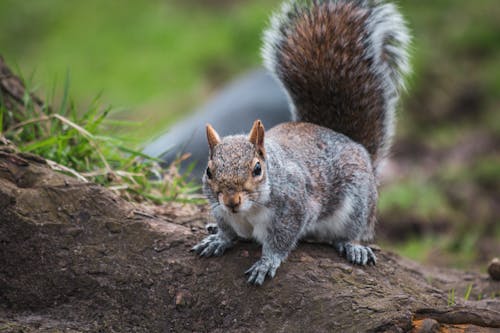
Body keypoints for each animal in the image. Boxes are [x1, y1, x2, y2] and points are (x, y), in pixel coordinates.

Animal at [191, 0, 410, 286]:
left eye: (257, 169)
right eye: (209, 171)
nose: (231, 201)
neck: (248, 211)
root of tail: (354, 144)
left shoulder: (294, 210)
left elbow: (280, 242)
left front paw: (266, 263)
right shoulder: (220, 210)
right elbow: (228, 231)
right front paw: (218, 239)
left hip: (357, 205)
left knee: (352, 231)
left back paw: (353, 247)